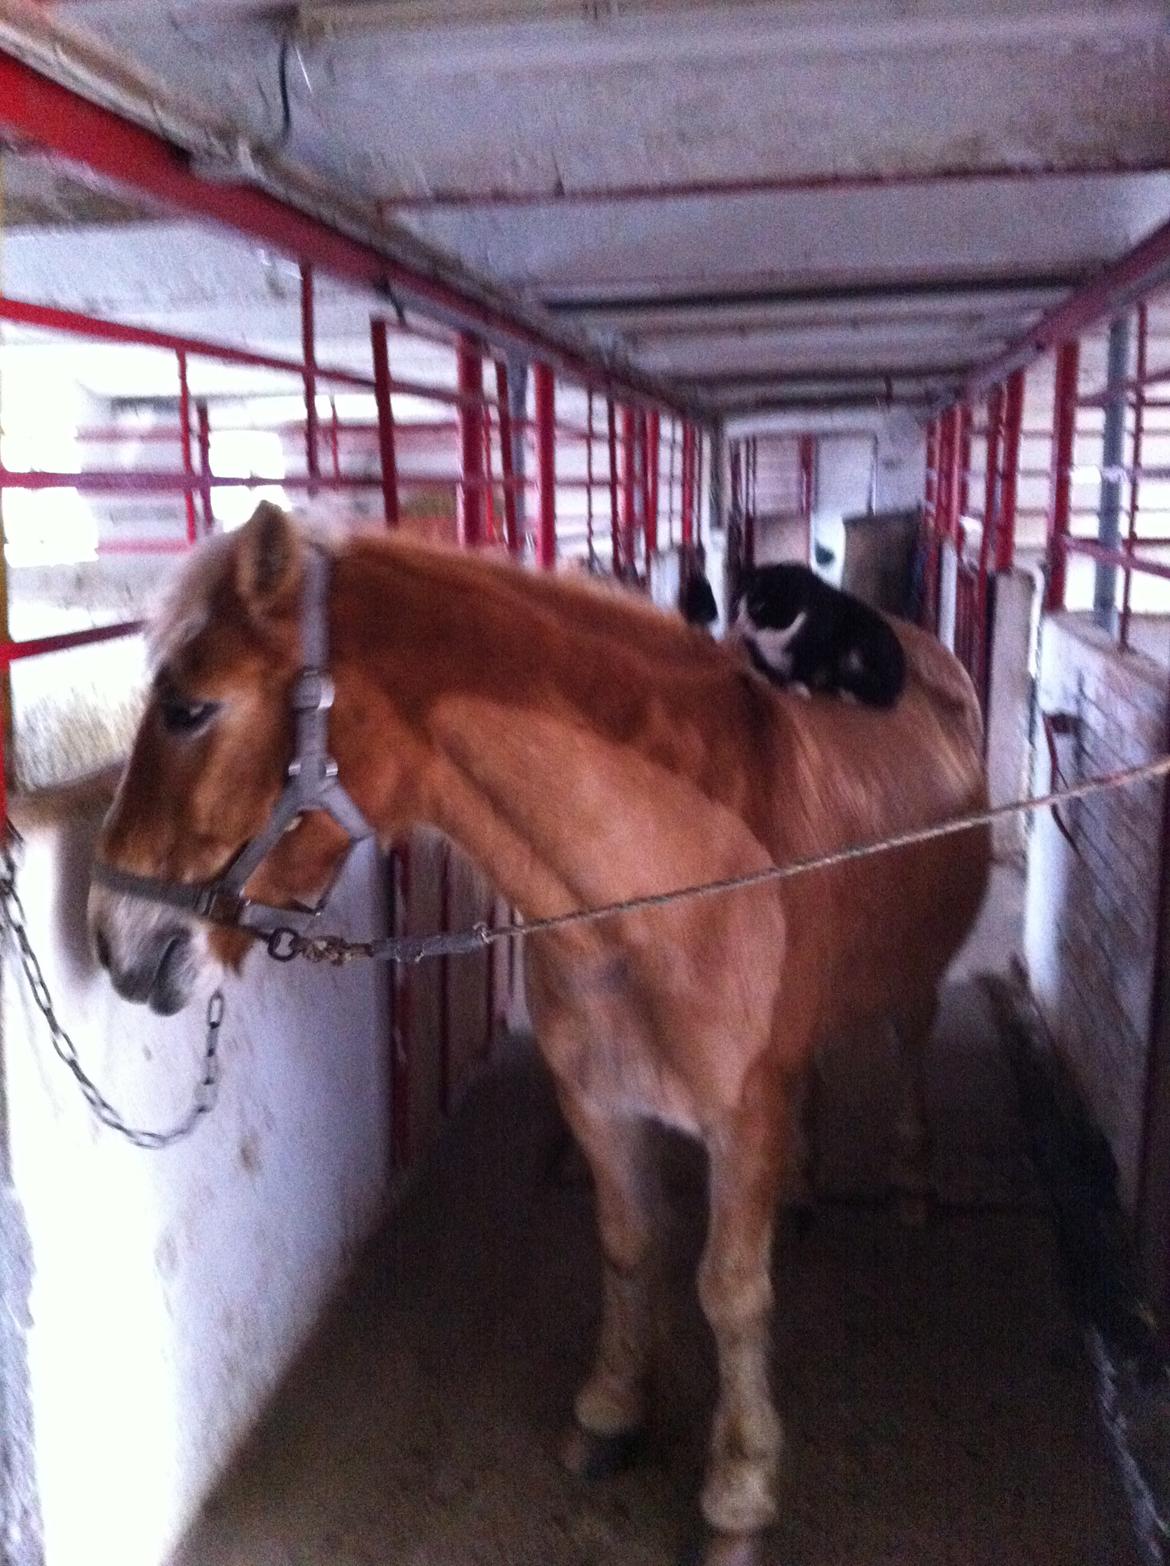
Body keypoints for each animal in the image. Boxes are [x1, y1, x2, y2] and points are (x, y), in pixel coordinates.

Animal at [733, 563, 908, 710]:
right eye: (738, 604)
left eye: (759, 605)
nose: (740, 622)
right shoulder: (755, 649)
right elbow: (759, 662)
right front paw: (759, 675)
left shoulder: (816, 649)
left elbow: (802, 669)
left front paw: (798, 689)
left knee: (883, 697)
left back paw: (848, 694)